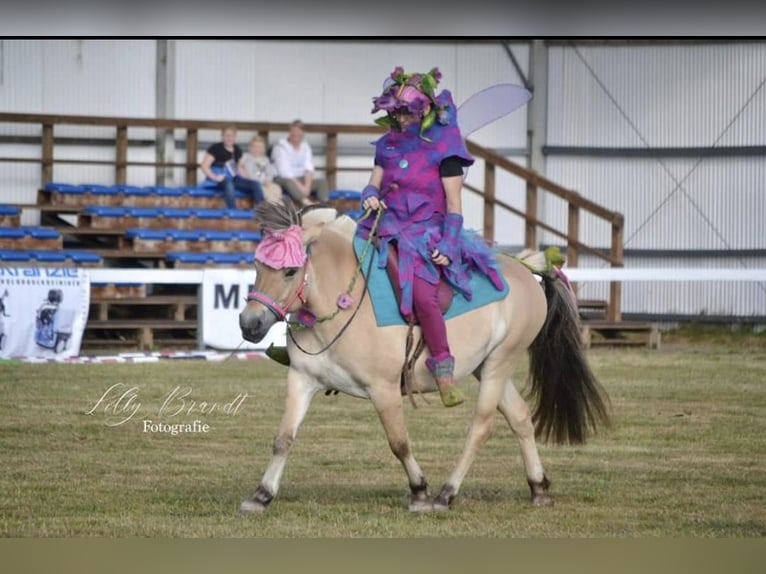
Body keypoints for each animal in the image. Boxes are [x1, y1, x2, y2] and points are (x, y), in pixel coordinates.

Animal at [240, 200, 612, 516]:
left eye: (290, 271)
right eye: (257, 265)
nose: (249, 323)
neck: (342, 301)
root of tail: (525, 270)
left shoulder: (384, 389)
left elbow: (399, 442)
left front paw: (419, 492)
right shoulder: (301, 380)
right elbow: (283, 439)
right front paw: (262, 495)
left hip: (499, 364)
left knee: (481, 426)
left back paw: (447, 492)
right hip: (486, 367)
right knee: (520, 418)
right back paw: (538, 487)